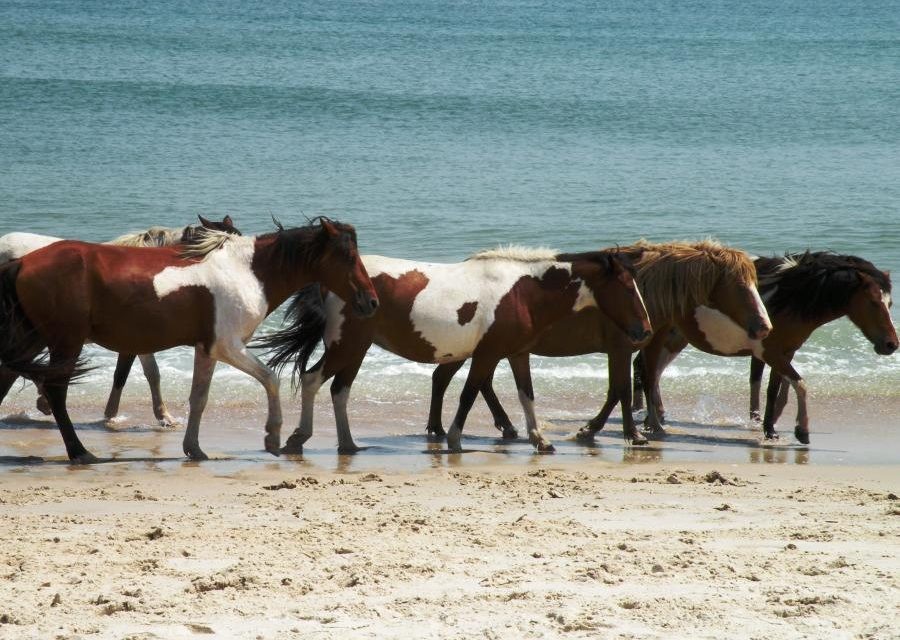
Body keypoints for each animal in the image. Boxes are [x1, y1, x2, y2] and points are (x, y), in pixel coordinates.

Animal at [0, 218, 378, 462]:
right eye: (348, 256)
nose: (371, 301)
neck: (247, 270)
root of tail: (22, 261)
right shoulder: (229, 346)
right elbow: (271, 378)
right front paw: (273, 436)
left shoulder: (207, 349)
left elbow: (199, 399)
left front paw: (194, 448)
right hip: (65, 342)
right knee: (55, 394)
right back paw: (79, 451)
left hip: (33, 338)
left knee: (8, 377)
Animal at [260, 246, 652, 456]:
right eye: (626, 287)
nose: (644, 331)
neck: (521, 292)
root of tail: (334, 283)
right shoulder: (487, 355)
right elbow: (469, 394)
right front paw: (454, 438)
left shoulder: (517, 354)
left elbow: (526, 395)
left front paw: (540, 440)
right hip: (347, 346)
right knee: (313, 380)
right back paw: (299, 438)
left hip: (356, 349)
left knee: (340, 391)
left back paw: (349, 444)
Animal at [628, 249, 896, 440]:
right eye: (873, 302)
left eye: (890, 303)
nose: (891, 344)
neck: (788, 296)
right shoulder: (772, 352)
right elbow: (797, 385)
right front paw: (800, 430)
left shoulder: (784, 352)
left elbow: (774, 389)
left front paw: (770, 426)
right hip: (661, 336)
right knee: (647, 371)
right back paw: (653, 421)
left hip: (676, 338)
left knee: (653, 371)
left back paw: (655, 418)